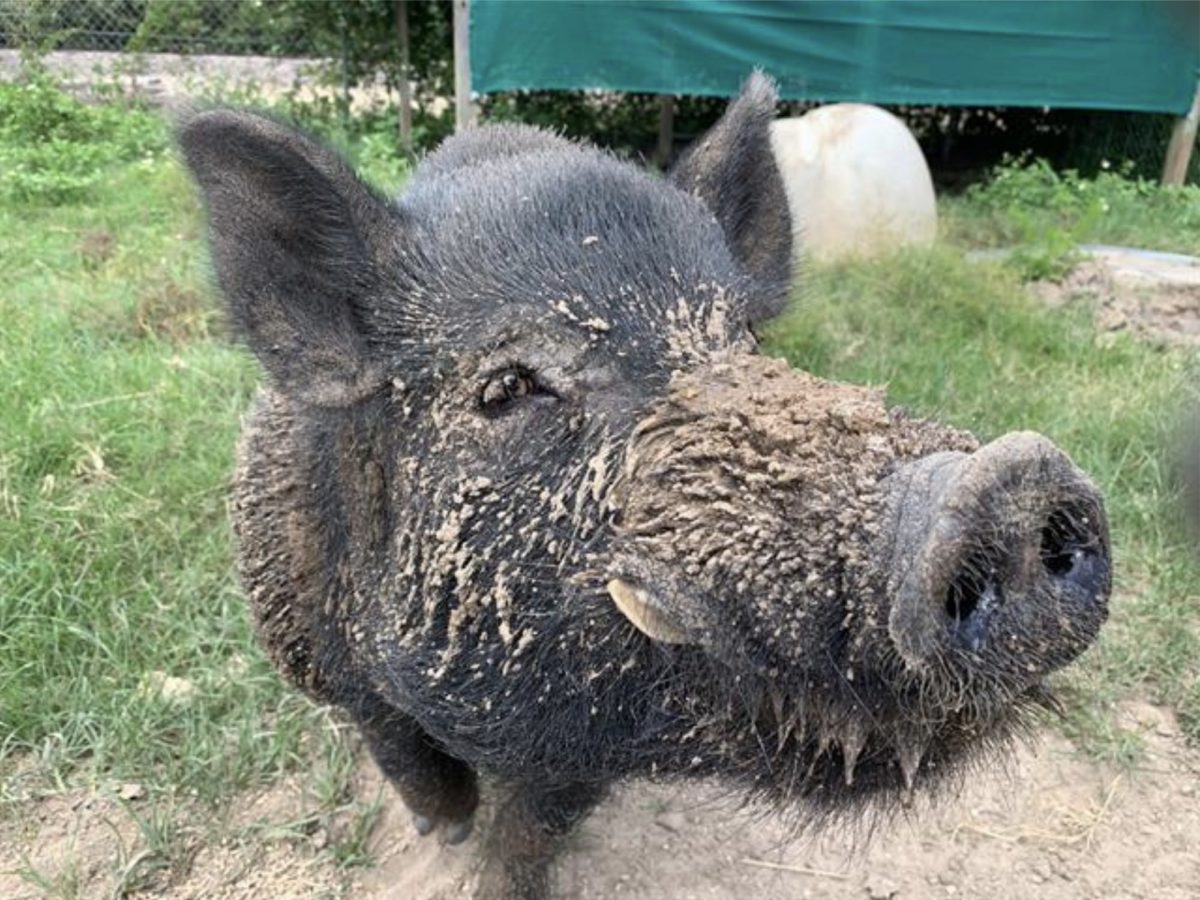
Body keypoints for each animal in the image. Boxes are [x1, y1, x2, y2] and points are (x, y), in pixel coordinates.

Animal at [180, 77, 1113, 900]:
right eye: (506, 388)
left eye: (745, 339)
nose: (1011, 483)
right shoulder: (321, 660)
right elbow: (405, 759)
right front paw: (445, 830)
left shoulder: (583, 745)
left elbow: (530, 834)